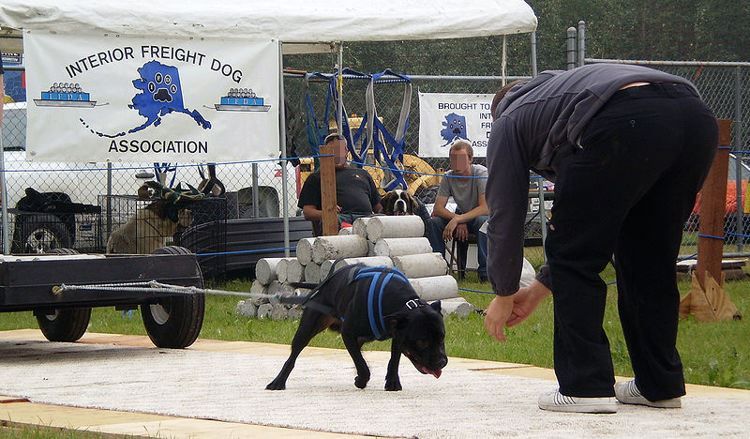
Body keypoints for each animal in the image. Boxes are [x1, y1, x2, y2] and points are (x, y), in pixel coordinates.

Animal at [268, 264, 450, 392]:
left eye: (442, 338)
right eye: (421, 342)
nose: (442, 362)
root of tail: (323, 283)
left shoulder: (398, 334)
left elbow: (393, 360)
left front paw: (392, 382)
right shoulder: (348, 333)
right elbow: (363, 365)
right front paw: (361, 380)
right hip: (307, 327)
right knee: (293, 356)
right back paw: (278, 382)